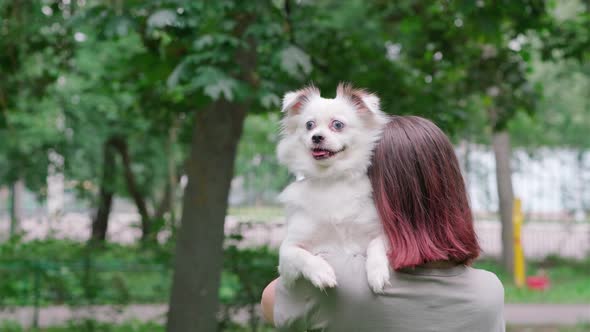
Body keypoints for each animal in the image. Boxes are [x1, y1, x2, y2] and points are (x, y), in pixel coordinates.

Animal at [278, 83, 394, 294]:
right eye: (309, 125)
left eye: (337, 125)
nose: (316, 137)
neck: (331, 179)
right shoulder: (287, 256)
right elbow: (300, 255)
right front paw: (321, 272)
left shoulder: (380, 233)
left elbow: (376, 244)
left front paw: (377, 272)